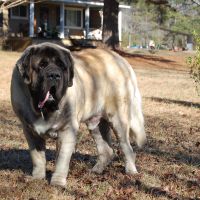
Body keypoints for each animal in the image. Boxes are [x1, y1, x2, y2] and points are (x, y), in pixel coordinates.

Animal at [10, 42, 145, 188]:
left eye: (62, 67)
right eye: (41, 65)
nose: (54, 75)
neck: (43, 109)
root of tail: (121, 60)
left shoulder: (67, 130)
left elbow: (62, 160)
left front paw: (57, 182)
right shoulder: (30, 132)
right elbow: (37, 157)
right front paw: (37, 178)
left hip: (118, 120)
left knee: (127, 147)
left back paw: (131, 171)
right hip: (95, 125)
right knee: (107, 150)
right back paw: (96, 171)